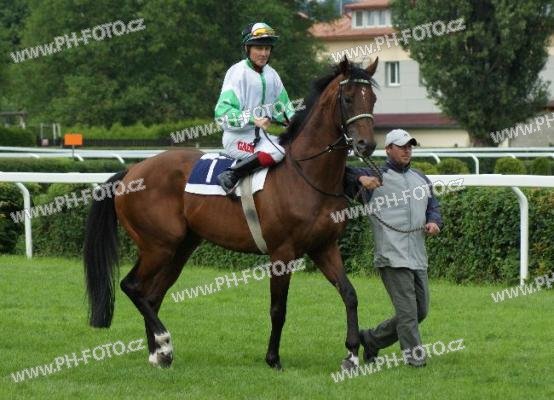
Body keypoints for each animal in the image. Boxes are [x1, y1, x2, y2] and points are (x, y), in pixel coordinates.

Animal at [83, 57, 379, 371]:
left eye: (372, 99)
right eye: (348, 99)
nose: (367, 145)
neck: (307, 176)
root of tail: (132, 171)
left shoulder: (324, 247)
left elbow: (349, 294)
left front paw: (351, 354)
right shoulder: (282, 253)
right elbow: (278, 308)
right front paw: (273, 359)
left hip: (179, 248)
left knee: (152, 296)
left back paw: (158, 354)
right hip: (158, 246)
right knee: (133, 287)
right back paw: (164, 342)